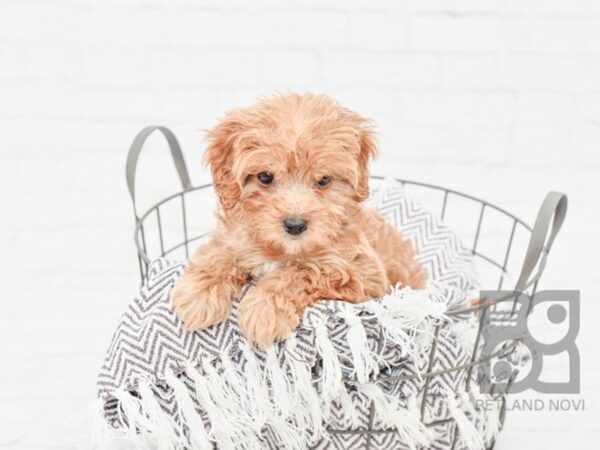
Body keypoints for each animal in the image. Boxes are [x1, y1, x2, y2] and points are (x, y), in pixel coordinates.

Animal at [171, 93, 426, 350]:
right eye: (265, 176)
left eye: (324, 180)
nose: (295, 225)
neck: (282, 250)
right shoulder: (233, 235)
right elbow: (219, 252)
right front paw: (199, 294)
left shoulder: (365, 274)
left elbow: (304, 271)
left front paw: (265, 309)